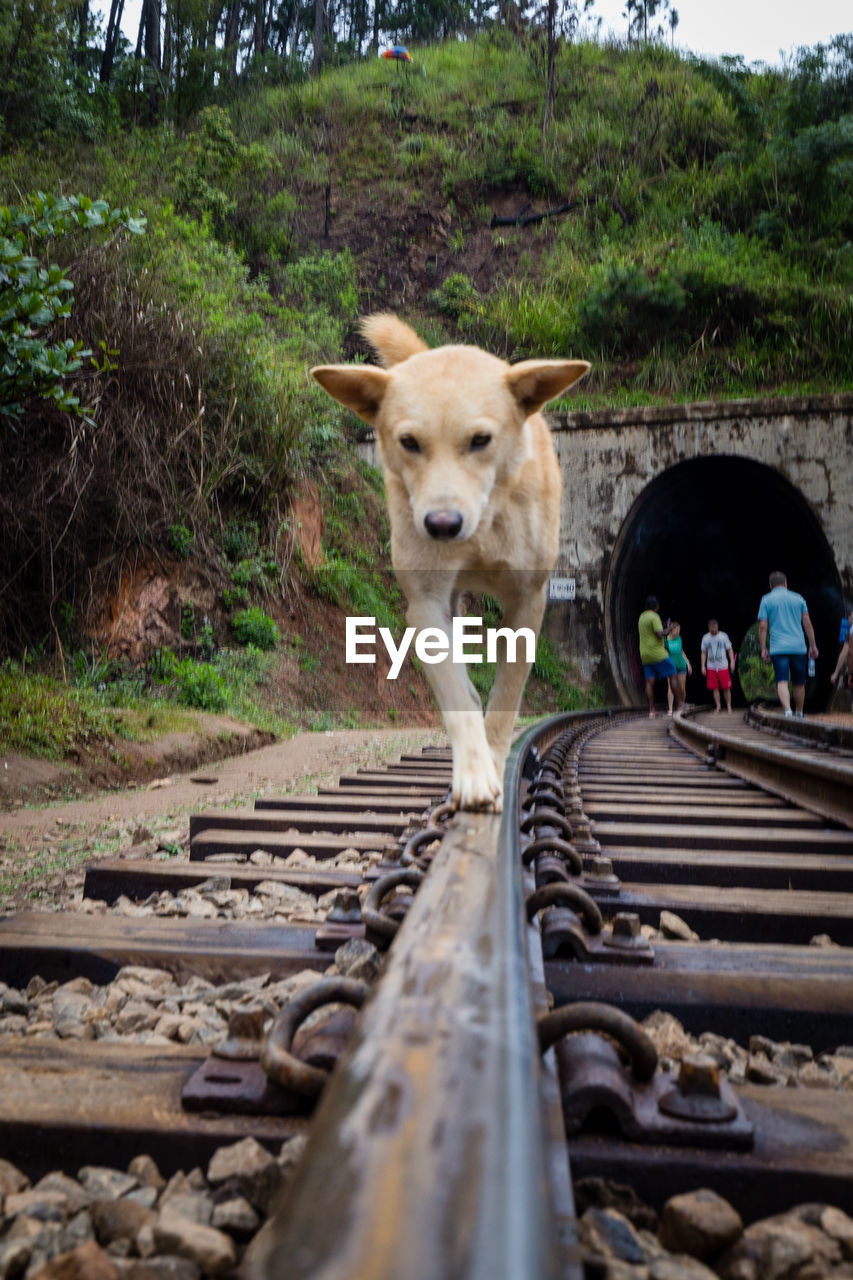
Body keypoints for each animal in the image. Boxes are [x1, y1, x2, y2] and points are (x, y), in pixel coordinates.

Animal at [311, 312, 584, 808]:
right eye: (409, 441)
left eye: (480, 440)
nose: (441, 524)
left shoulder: (528, 599)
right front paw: (474, 774)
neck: (483, 528)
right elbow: (458, 695)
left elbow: (505, 699)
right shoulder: (425, 604)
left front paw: (494, 763)